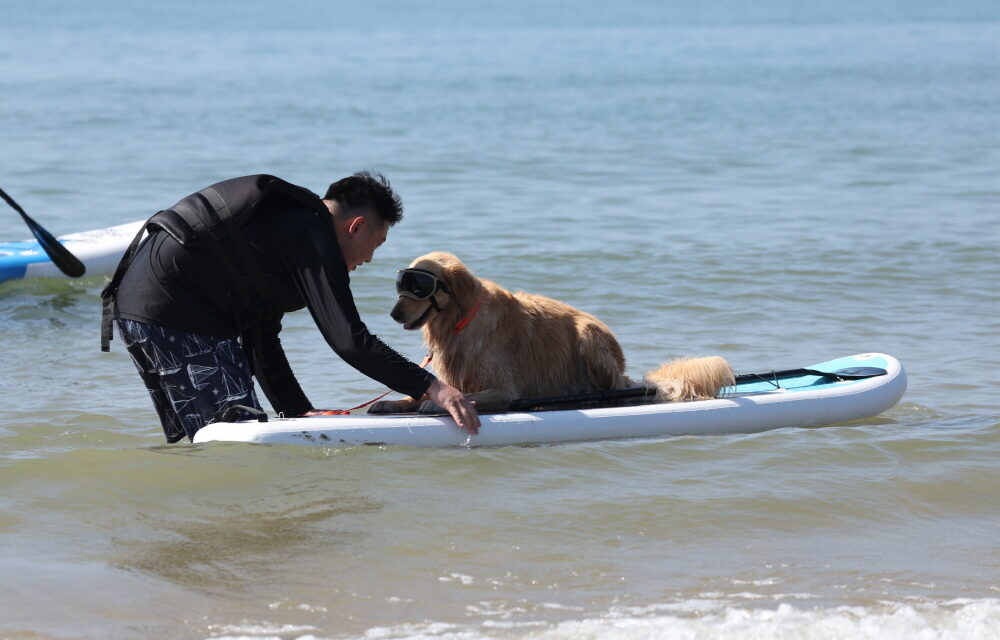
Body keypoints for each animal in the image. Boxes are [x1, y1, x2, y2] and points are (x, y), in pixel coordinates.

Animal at [372, 252, 732, 412]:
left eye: (418, 287)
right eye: (400, 286)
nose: (393, 313)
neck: (460, 321)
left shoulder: (504, 390)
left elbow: (465, 398)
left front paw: (433, 406)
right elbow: (423, 393)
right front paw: (394, 403)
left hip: (590, 337)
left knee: (611, 390)